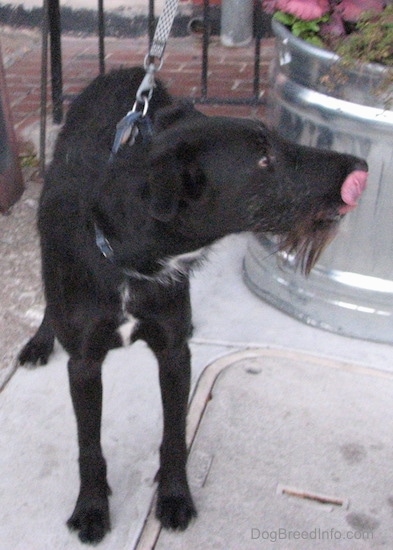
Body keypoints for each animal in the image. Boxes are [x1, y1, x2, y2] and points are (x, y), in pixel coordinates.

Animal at [19, 67, 368, 544]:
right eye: (264, 160)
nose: (360, 167)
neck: (129, 261)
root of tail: (128, 71)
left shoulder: (173, 353)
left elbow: (175, 433)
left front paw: (173, 497)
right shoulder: (84, 364)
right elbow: (89, 444)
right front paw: (91, 507)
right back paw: (39, 342)